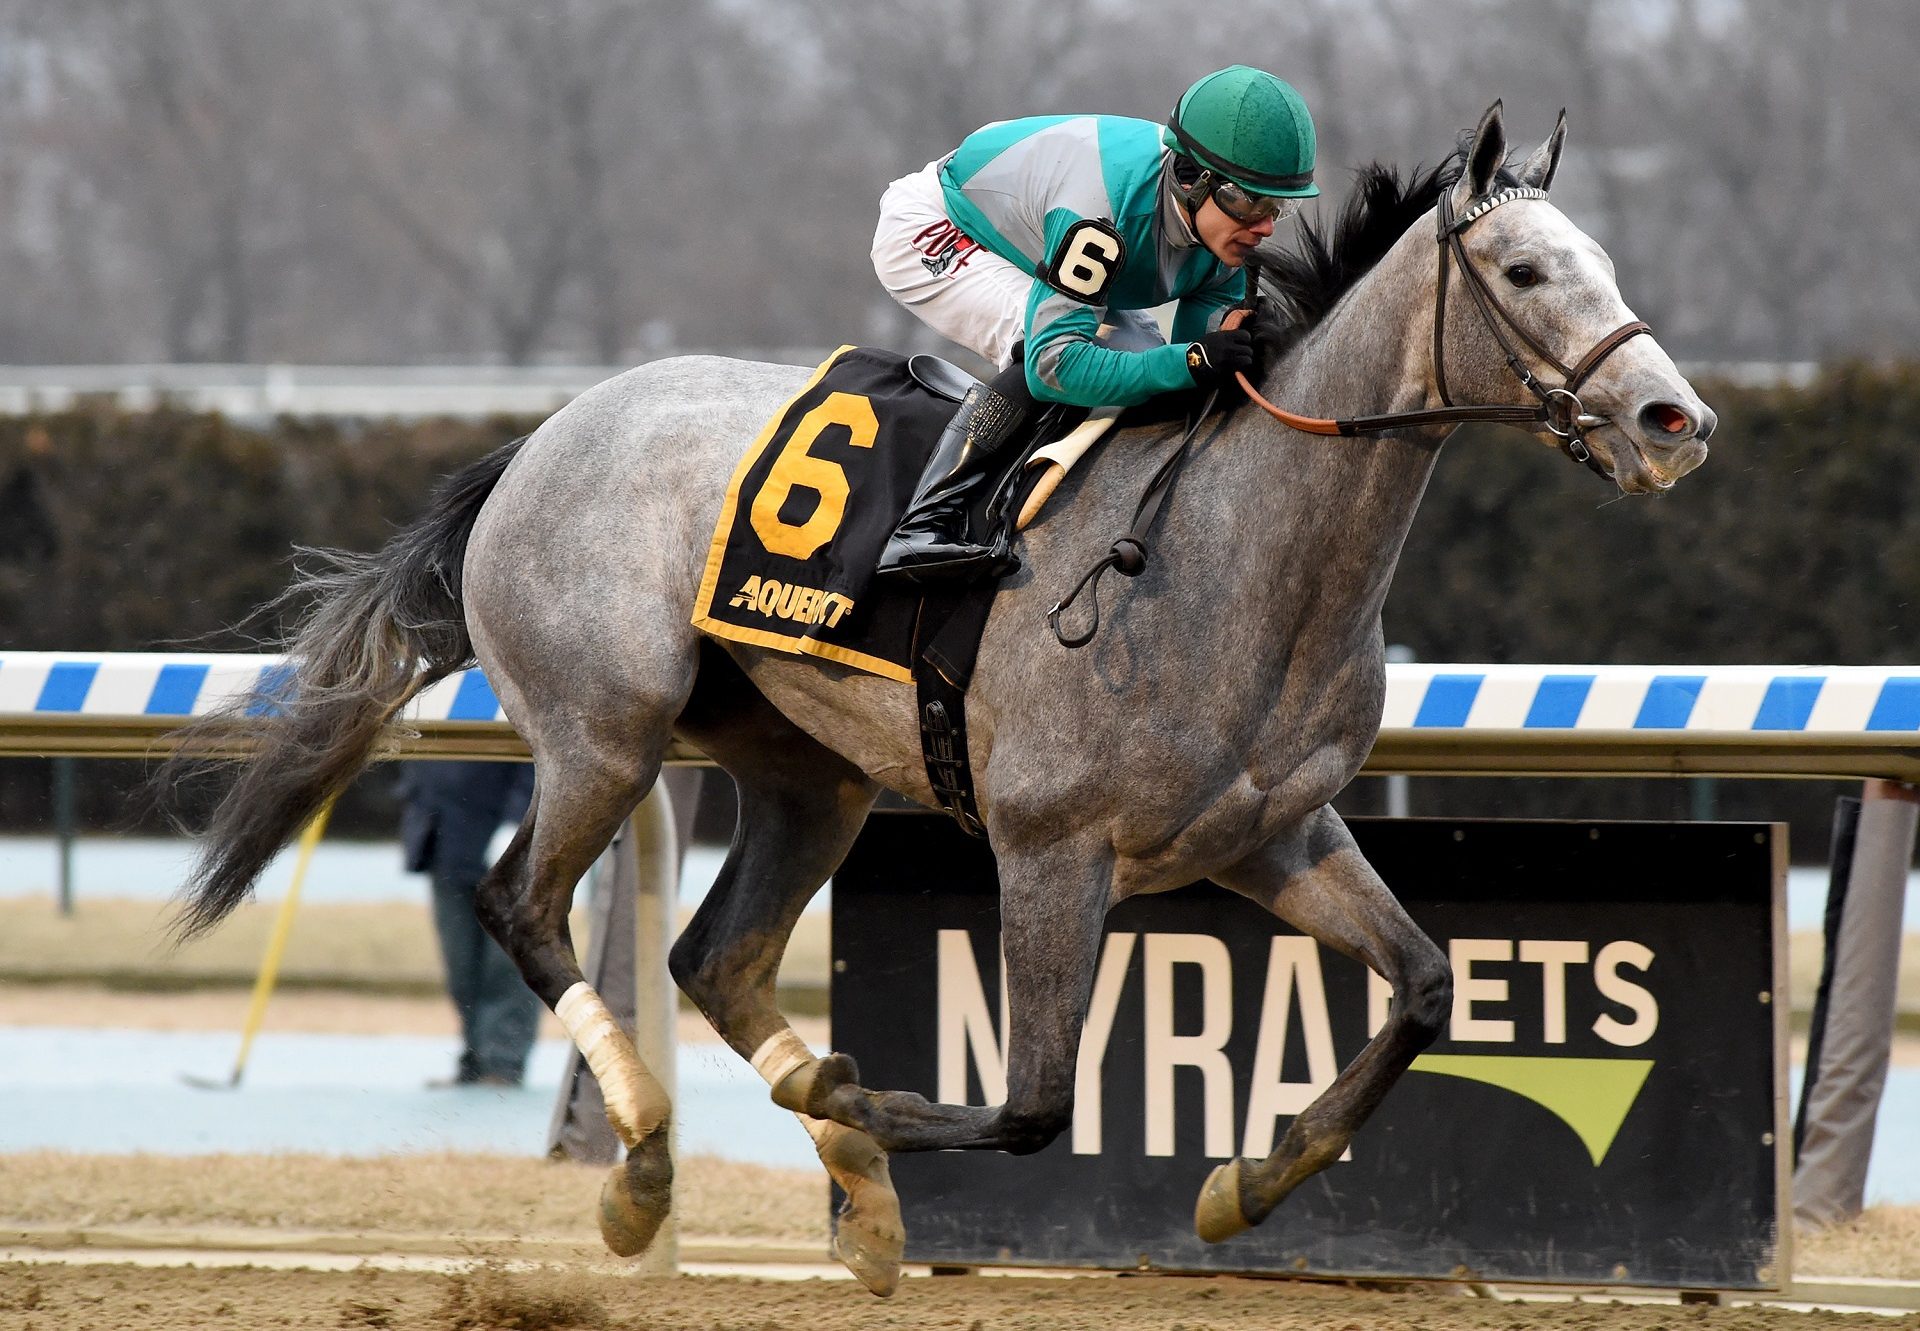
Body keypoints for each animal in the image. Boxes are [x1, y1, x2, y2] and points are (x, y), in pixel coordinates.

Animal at [172, 108, 1712, 1290]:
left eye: (1604, 259)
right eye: (1526, 267)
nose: (1675, 421)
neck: (1233, 551)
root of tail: (545, 433)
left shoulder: (1274, 832)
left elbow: (1428, 985)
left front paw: (1251, 1177)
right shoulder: (1052, 847)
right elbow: (1033, 1104)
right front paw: (851, 1093)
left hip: (812, 775)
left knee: (712, 957)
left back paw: (841, 1189)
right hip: (605, 729)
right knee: (522, 905)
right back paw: (650, 1162)